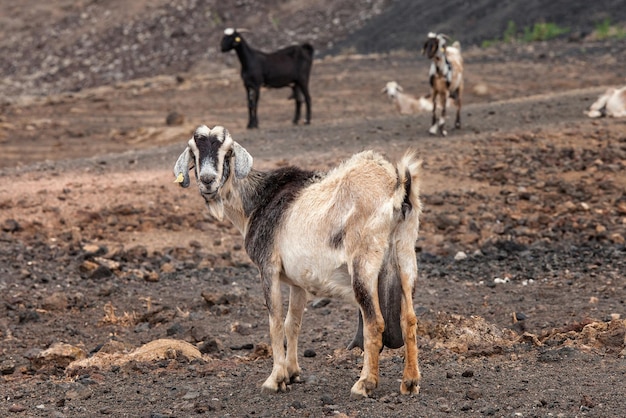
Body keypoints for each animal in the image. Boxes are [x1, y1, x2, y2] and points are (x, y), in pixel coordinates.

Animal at [173, 125, 422, 398]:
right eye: (194, 152)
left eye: (227, 153)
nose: (208, 180)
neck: (259, 200)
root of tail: (397, 189)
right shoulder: (297, 281)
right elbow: (292, 323)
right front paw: (292, 372)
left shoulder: (268, 268)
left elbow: (275, 322)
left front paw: (275, 379)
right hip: (405, 256)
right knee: (409, 318)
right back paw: (410, 382)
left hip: (364, 264)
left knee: (375, 322)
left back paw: (364, 383)